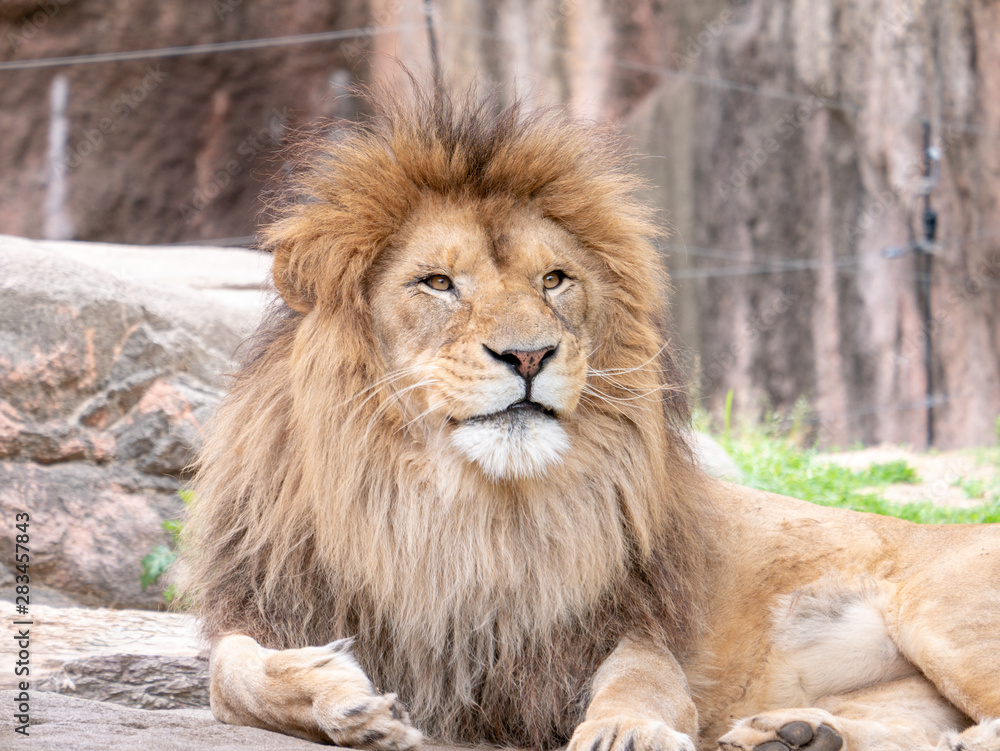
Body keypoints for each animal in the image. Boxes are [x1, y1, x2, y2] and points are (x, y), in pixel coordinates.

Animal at [177, 87, 1000, 751]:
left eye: (554, 279)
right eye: (437, 282)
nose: (529, 354)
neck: (456, 509)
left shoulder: (617, 627)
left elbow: (643, 680)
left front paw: (629, 730)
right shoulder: (274, 603)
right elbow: (229, 672)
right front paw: (346, 702)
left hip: (940, 613)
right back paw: (792, 733)